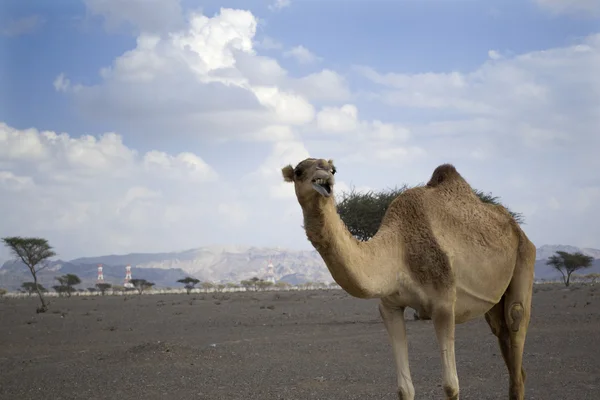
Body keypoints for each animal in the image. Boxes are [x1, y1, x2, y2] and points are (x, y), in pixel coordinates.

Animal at [282, 158, 536, 398]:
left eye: (332, 169)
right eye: (299, 171)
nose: (324, 176)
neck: (399, 250)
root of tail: (518, 229)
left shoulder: (444, 303)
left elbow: (450, 386)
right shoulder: (390, 305)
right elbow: (404, 388)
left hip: (525, 257)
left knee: (516, 317)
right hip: (494, 303)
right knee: (507, 344)